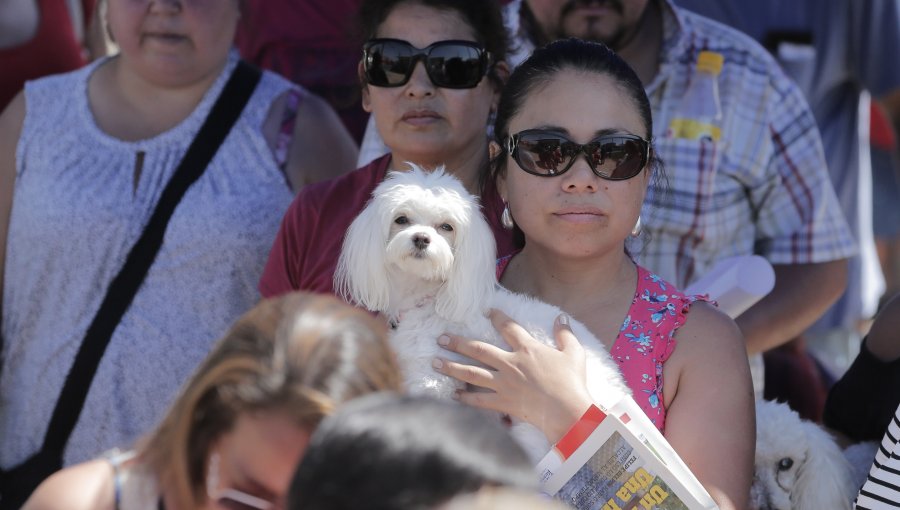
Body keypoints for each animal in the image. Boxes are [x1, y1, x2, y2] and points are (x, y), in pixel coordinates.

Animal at [334, 164, 628, 462]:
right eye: (401, 219)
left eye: (447, 227)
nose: (421, 238)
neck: (428, 298)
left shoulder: (432, 375)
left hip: (536, 432)